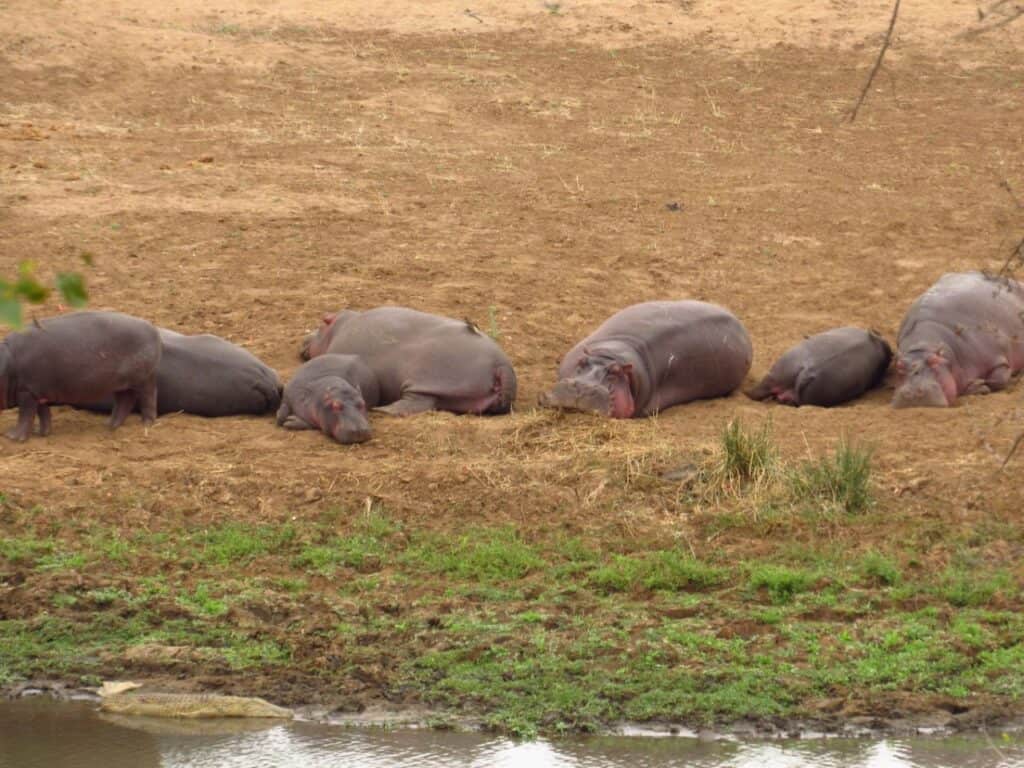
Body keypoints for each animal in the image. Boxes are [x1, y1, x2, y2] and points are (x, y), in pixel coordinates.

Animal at [0, 310, 160, 441]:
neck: (5, 363)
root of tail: (153, 329)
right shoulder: (38, 392)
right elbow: (43, 413)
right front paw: (42, 433)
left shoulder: (27, 391)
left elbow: (25, 415)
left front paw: (12, 437)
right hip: (122, 383)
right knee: (125, 401)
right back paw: (110, 425)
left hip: (144, 379)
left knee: (148, 397)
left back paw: (146, 424)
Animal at [301, 307, 517, 416]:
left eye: (322, 323)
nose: (304, 339)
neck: (339, 326)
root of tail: (502, 365)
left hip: (430, 381)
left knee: (419, 402)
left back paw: (383, 410)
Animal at [892, 271, 1024, 408]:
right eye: (899, 366)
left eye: (934, 361)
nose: (912, 392)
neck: (922, 344)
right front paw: (977, 385)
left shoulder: (995, 355)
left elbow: (999, 379)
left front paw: (981, 384)